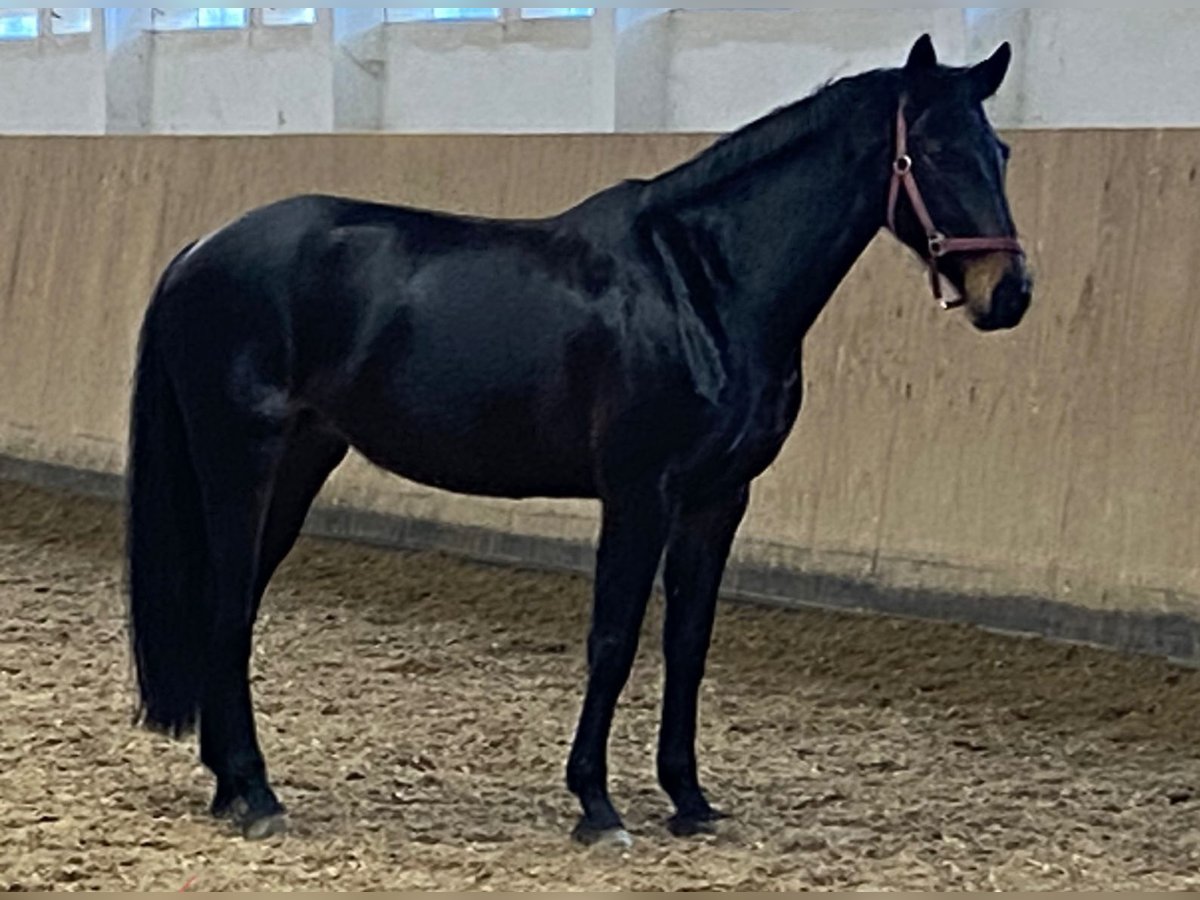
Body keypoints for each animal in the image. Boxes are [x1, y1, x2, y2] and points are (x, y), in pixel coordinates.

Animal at [129, 35, 1032, 849]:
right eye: (935, 152)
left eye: (1001, 151)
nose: (1011, 293)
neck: (702, 284)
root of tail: (198, 252)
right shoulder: (639, 492)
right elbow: (613, 640)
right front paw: (597, 806)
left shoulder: (716, 500)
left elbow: (687, 643)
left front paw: (690, 800)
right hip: (242, 462)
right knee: (227, 604)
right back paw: (256, 794)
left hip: (299, 464)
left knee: (234, 602)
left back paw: (231, 785)